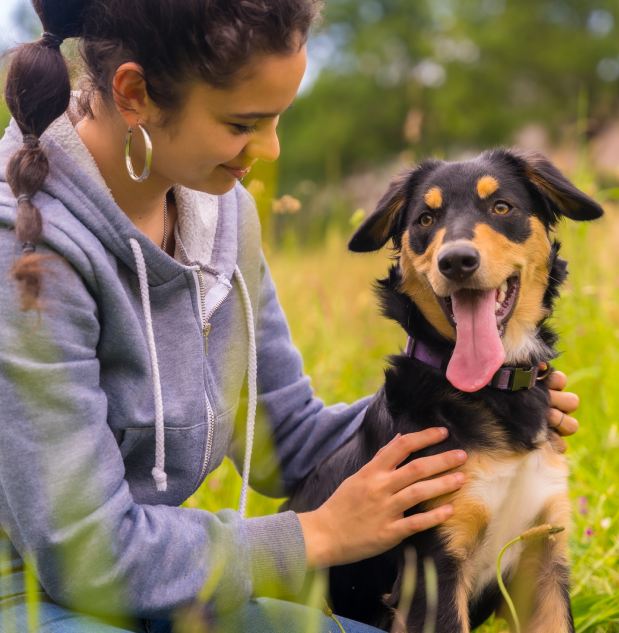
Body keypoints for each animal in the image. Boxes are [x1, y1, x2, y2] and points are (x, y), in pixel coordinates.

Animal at [290, 149, 604, 632]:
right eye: (425, 219)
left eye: (501, 207)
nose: (456, 261)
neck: (493, 389)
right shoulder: (434, 566)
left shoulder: (544, 558)